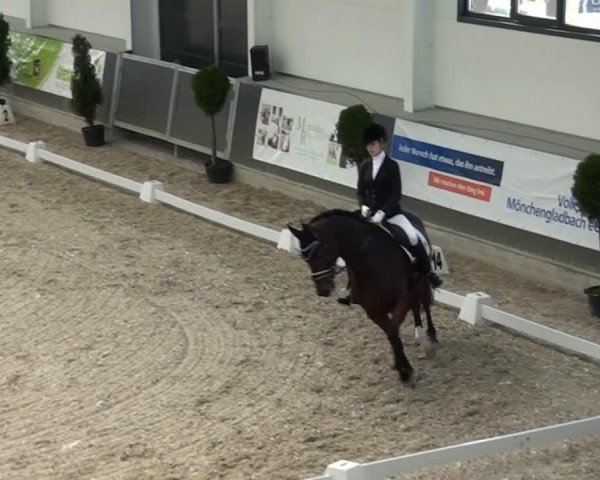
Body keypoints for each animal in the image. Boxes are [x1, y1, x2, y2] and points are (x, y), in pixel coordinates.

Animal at [288, 209, 438, 386]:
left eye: (320, 251)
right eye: (305, 258)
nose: (323, 291)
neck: (369, 262)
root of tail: (410, 213)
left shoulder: (402, 302)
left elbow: (394, 332)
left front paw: (405, 371)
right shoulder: (374, 311)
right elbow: (392, 336)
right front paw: (403, 369)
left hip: (421, 282)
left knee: (424, 304)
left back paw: (430, 336)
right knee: (416, 308)